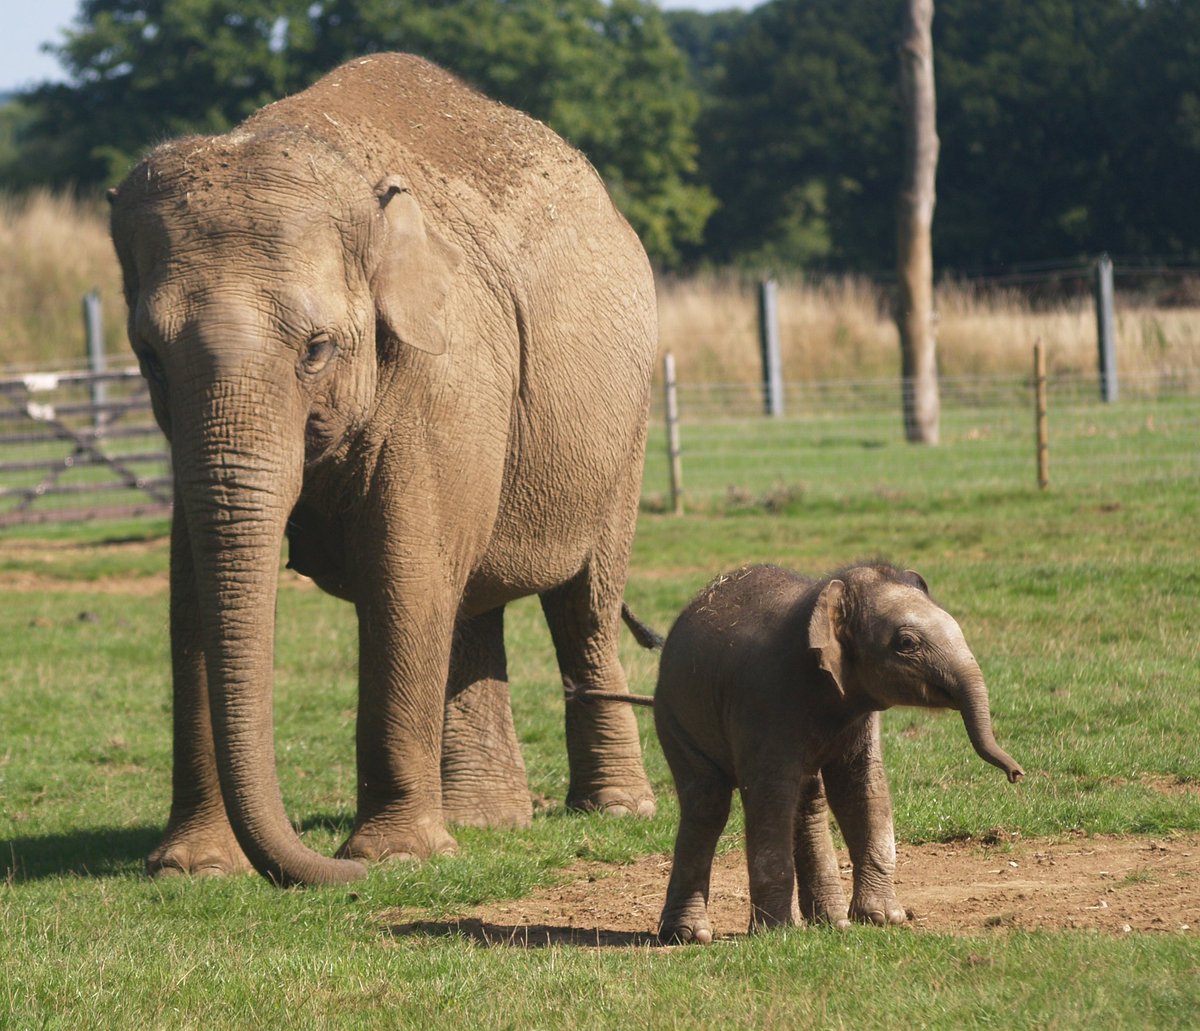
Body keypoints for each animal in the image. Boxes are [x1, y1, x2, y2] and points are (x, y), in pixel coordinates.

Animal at [107, 53, 659, 887]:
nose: (322, 871)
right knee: (469, 602)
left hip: (624, 431)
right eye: (149, 358)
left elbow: (403, 570)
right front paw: (193, 870)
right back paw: (485, 820)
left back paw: (617, 811)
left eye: (316, 349)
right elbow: (191, 587)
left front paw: (391, 859)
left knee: (582, 603)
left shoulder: (447, 370)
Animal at [573, 562, 1024, 943]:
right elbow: (771, 796)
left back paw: (832, 922)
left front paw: (882, 919)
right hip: (675, 720)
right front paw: (778, 934)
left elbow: (862, 790)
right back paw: (690, 936)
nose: (1016, 774)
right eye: (906, 643)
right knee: (708, 805)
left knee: (808, 803)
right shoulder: (766, 699)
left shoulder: (857, 712)